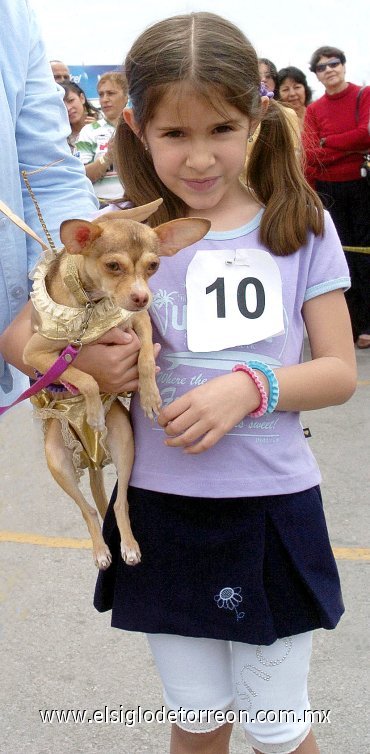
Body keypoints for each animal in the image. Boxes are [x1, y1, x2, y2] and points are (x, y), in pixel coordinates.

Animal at [23, 200, 210, 568]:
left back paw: (129, 545)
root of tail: (92, 458)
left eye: (153, 266)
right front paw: (94, 410)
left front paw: (150, 396)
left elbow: (146, 357)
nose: (142, 297)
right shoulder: (34, 353)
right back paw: (100, 549)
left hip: (125, 444)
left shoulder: (138, 321)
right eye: (113, 266)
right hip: (57, 460)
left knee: (120, 502)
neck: (90, 306)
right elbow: (83, 376)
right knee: (88, 511)